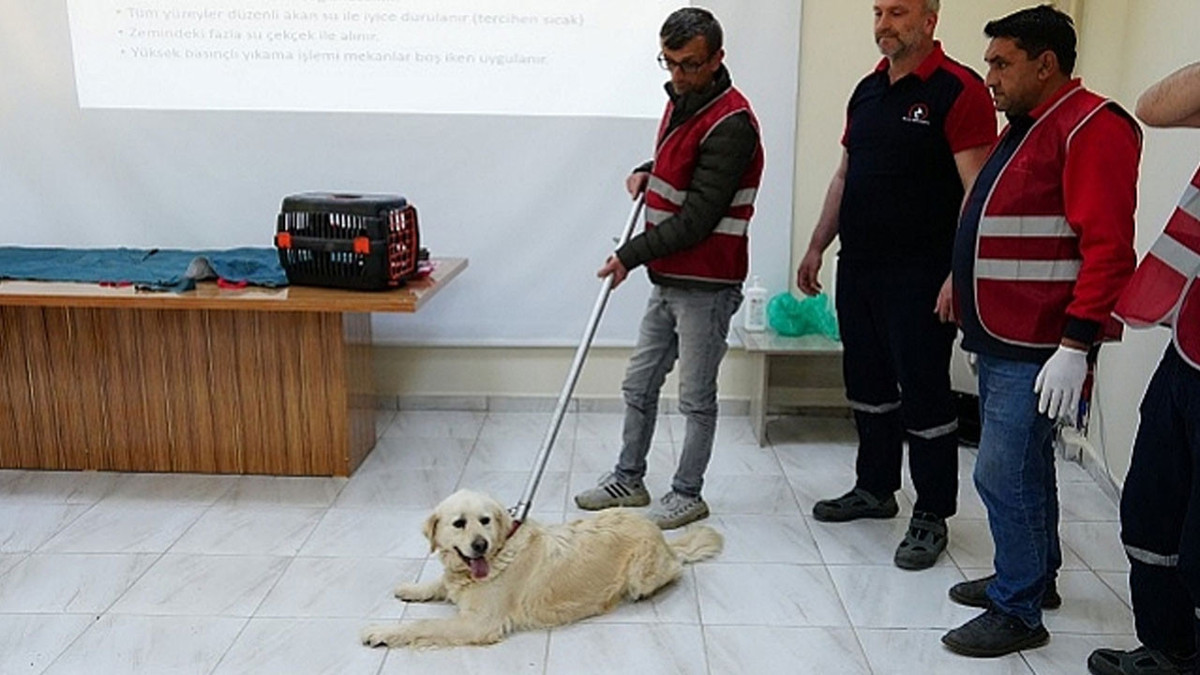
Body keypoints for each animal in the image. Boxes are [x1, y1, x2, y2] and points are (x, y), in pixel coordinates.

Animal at [361, 489, 722, 648]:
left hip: (642, 575)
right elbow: (440, 583)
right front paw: (410, 588)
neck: (500, 552)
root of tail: (659, 534)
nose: (480, 546)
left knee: (675, 569)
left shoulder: (479, 624)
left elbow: (421, 624)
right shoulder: (458, 581)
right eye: (459, 523)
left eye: (485, 521)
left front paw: (382, 632)